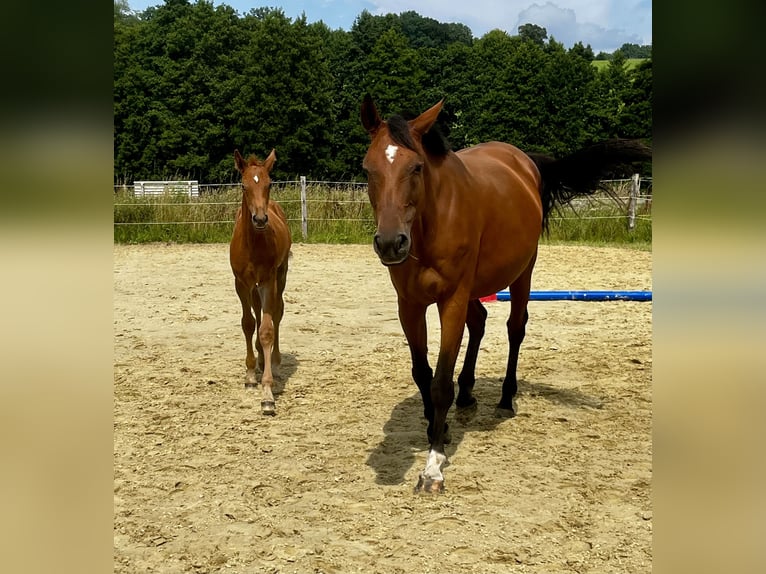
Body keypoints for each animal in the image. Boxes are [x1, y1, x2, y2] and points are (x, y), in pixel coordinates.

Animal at [360, 95, 651, 492]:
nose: (391, 243)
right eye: (368, 169)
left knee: (515, 328)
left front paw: (433, 465)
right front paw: (439, 427)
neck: (430, 222)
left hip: (522, 273)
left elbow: (440, 382)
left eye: (416, 167)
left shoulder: (451, 300)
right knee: (480, 322)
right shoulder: (410, 304)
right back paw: (467, 393)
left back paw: (505, 397)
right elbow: (422, 372)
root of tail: (524, 161)